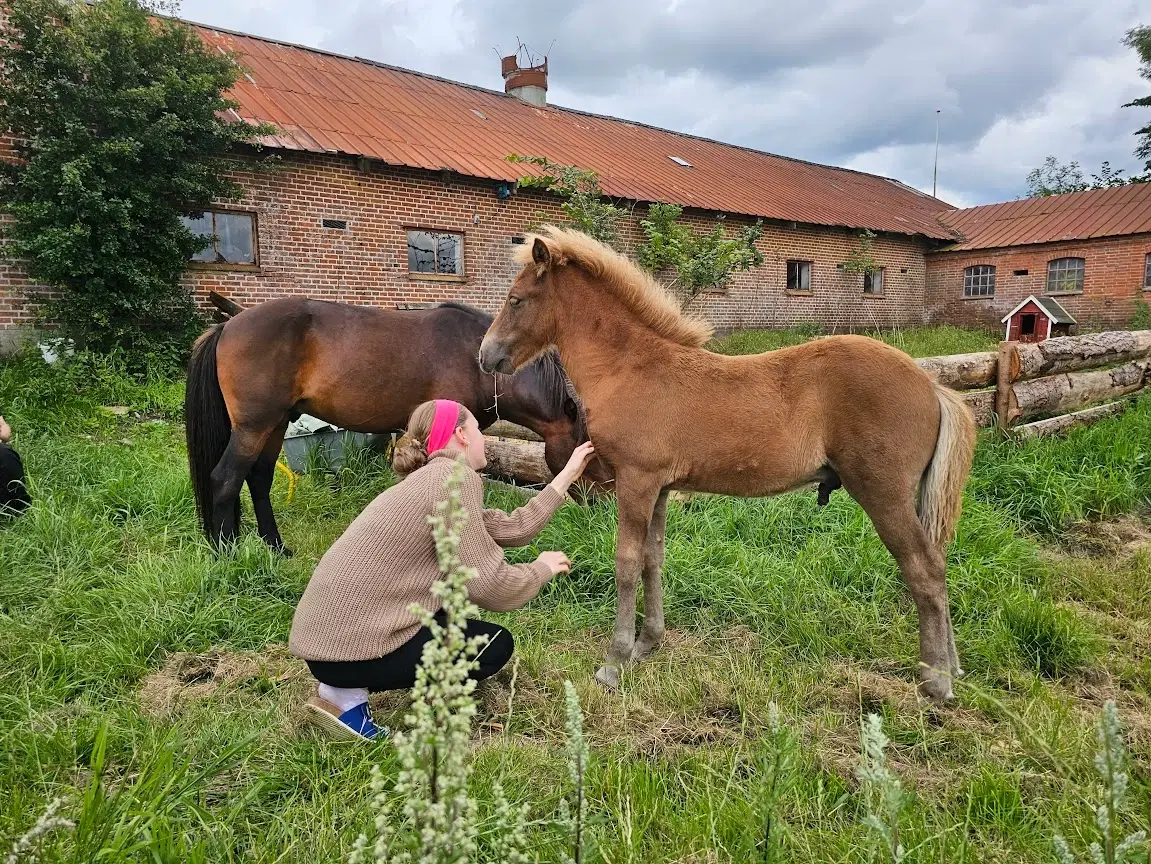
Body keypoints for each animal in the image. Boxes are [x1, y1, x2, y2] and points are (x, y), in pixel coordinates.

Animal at [184, 296, 607, 554]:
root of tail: (228, 326)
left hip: (272, 427)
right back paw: (227, 553)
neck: (479, 362)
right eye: (593, 456)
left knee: (258, 480)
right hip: (253, 428)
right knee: (224, 479)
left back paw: (276, 547)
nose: (603, 506)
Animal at [481, 230, 976, 704]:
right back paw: (952, 669)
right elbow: (653, 559)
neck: (630, 368)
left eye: (516, 299)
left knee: (924, 570)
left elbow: (626, 562)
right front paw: (648, 644)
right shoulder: (660, 487)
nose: (487, 356)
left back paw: (936, 681)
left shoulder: (636, 480)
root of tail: (932, 385)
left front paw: (614, 662)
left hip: (883, 492)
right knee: (937, 564)